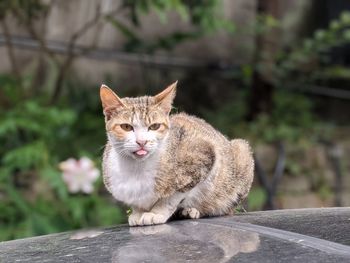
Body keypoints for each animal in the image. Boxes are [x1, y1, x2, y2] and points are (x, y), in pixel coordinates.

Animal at [100, 81, 253, 226]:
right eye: (126, 127)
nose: (142, 142)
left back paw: (191, 211)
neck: (136, 167)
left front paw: (156, 213)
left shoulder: (205, 155)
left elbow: (173, 196)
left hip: (241, 152)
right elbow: (136, 200)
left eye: (155, 126)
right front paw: (138, 213)